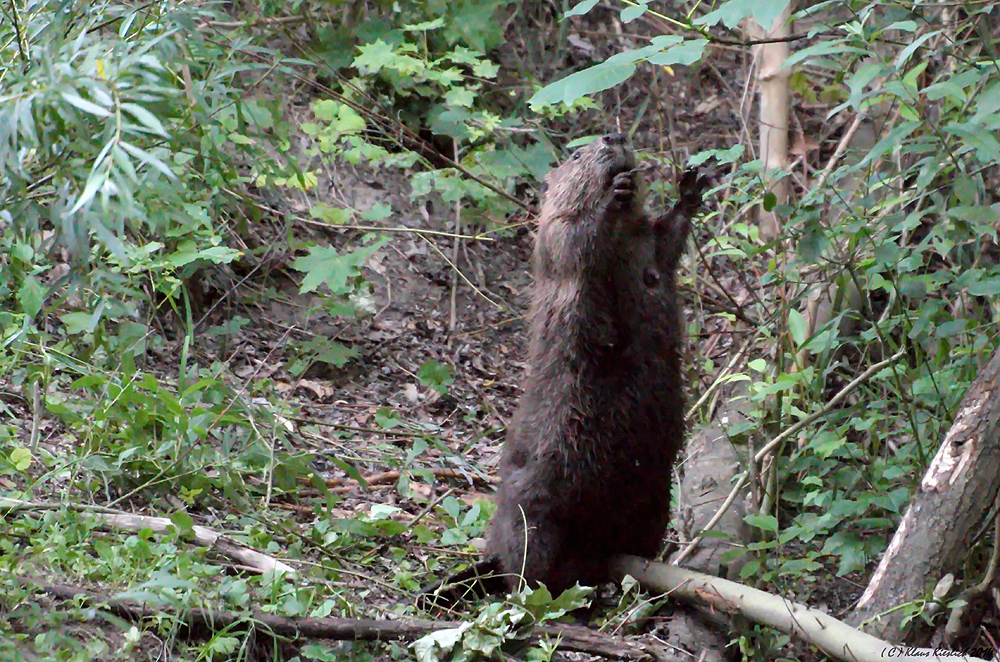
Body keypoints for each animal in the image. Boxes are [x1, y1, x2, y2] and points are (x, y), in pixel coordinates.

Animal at [486, 132, 712, 592]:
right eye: (575, 154)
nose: (615, 136)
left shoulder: (647, 240)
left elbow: (666, 242)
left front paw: (690, 187)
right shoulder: (553, 240)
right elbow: (576, 242)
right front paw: (614, 195)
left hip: (653, 500)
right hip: (531, 510)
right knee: (525, 564)